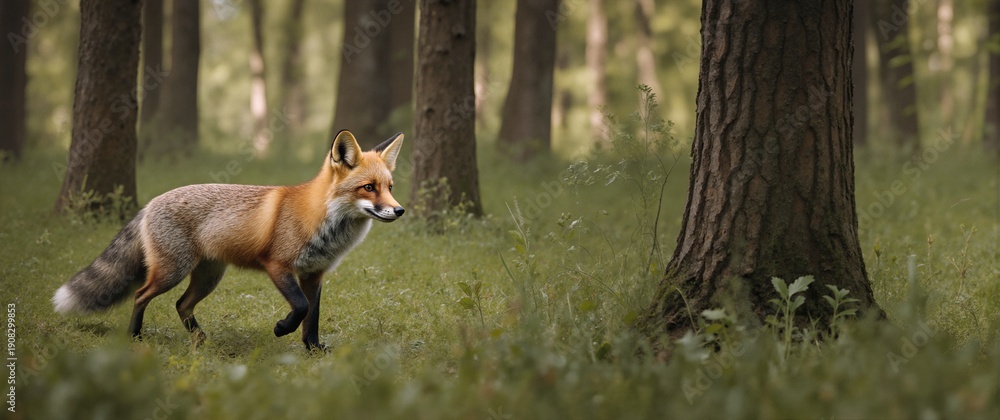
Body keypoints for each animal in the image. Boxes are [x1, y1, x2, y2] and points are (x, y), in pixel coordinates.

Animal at [52, 130, 404, 350]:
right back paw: (135, 337)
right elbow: (301, 308)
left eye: (390, 187)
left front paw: (313, 350)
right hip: (172, 272)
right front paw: (281, 329)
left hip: (208, 277)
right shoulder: (278, 266)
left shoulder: (314, 274)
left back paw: (201, 340)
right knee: (141, 295)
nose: (399, 210)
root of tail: (150, 203)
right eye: (368, 188)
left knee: (181, 304)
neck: (322, 222)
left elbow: (313, 317)